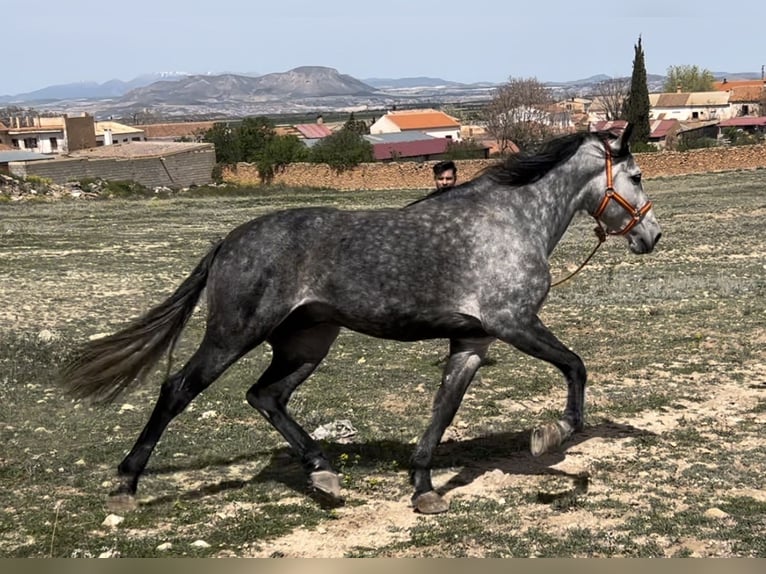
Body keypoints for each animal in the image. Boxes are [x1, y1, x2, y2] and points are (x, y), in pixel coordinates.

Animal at [61, 125, 660, 512]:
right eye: (635, 176)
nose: (652, 236)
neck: (511, 222)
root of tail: (228, 241)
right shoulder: (513, 323)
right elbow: (576, 368)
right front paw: (550, 435)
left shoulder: (472, 341)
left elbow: (443, 410)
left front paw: (424, 488)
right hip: (234, 334)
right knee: (178, 389)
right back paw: (126, 487)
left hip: (307, 343)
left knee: (265, 396)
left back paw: (324, 474)